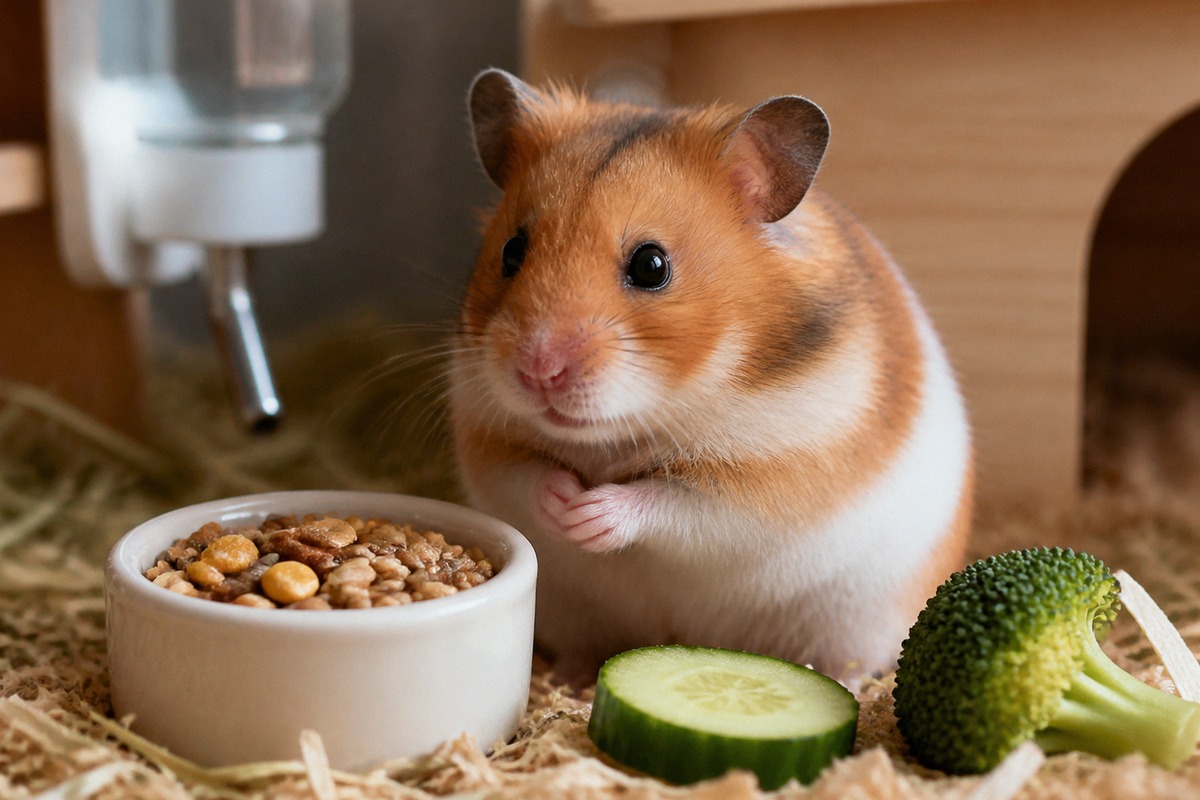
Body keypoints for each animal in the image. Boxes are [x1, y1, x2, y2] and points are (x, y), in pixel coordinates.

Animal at [449, 68, 973, 686]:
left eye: (651, 265)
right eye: (512, 251)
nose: (537, 370)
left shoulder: (767, 485)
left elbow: (670, 503)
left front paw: (591, 515)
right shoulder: (488, 442)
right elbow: (529, 478)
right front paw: (566, 504)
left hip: (859, 622)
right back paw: (568, 679)